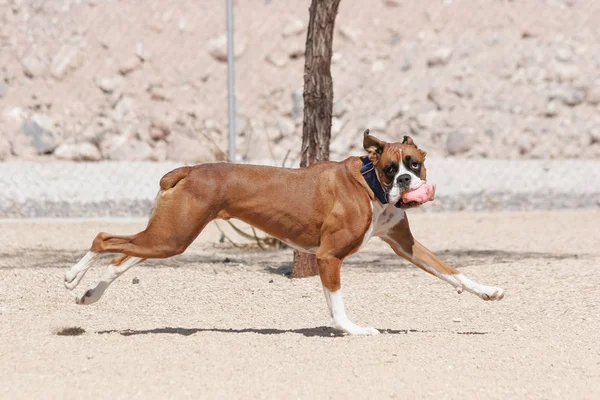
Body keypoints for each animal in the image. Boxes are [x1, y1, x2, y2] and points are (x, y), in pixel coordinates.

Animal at [63, 130, 504, 334]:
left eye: (413, 163)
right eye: (389, 169)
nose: (407, 182)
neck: (368, 185)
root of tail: (190, 169)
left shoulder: (406, 245)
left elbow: (451, 272)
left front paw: (487, 291)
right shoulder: (328, 257)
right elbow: (337, 306)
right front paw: (353, 330)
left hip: (168, 237)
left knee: (122, 257)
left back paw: (90, 293)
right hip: (171, 238)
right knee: (104, 240)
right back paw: (71, 277)